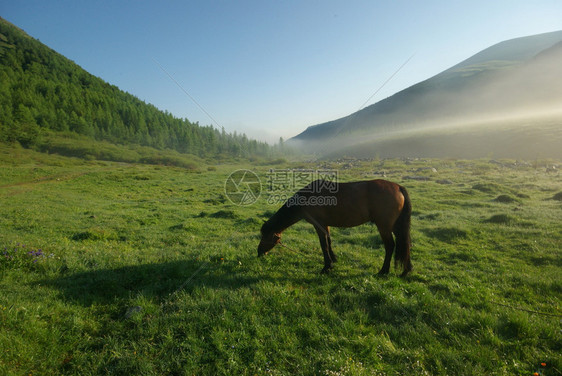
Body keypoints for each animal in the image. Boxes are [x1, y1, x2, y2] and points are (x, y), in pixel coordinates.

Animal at [258, 179, 412, 276]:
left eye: (265, 236)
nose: (259, 253)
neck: (308, 197)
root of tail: (398, 187)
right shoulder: (325, 225)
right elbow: (329, 241)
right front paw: (333, 260)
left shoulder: (318, 225)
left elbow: (323, 245)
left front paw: (327, 267)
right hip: (396, 226)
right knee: (405, 244)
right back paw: (406, 271)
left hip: (384, 227)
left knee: (390, 246)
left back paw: (384, 270)